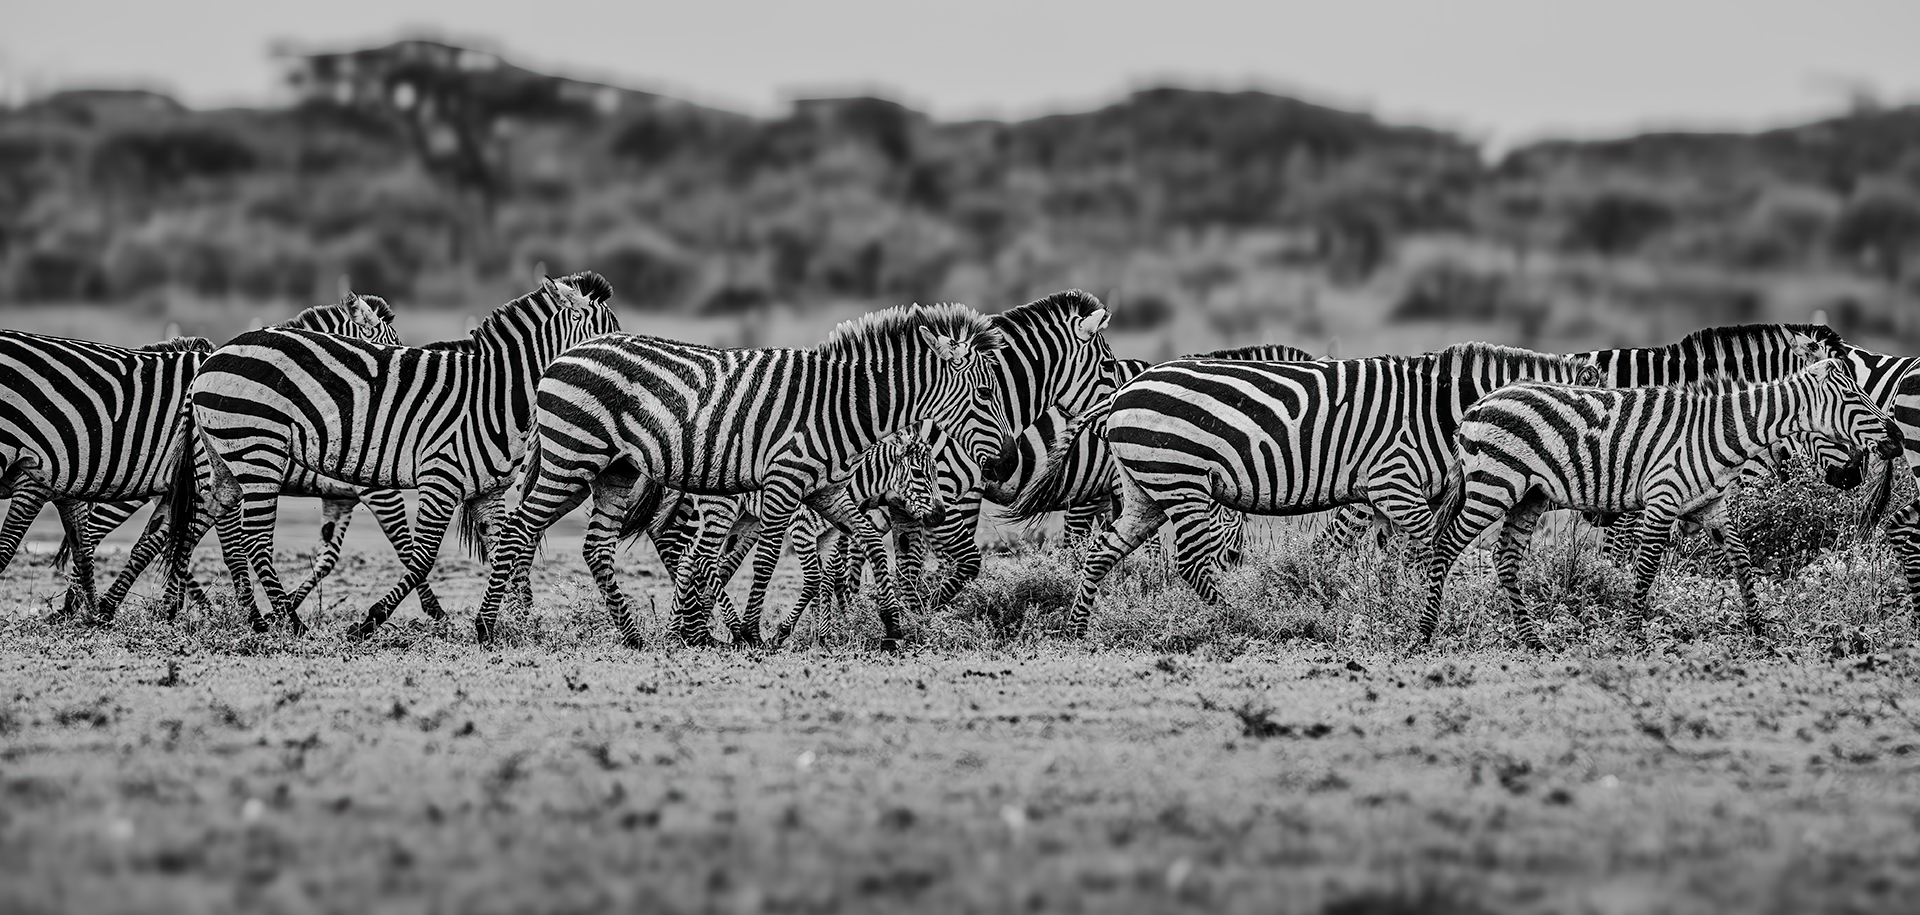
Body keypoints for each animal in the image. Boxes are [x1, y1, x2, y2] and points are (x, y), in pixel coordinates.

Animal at [0, 297, 400, 622]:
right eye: (387, 352)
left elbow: (173, 543)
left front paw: (167, 609)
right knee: (87, 533)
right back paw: (78, 607)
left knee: (97, 536)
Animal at [166, 273, 619, 636]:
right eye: (601, 337)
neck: (494, 394)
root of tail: (212, 357)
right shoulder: (439, 479)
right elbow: (420, 557)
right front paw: (368, 623)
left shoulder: (486, 491)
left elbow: (503, 551)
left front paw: (509, 619)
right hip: (258, 453)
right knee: (255, 541)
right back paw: (290, 625)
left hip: (226, 463)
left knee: (192, 524)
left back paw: (201, 612)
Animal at [474, 303, 1009, 649]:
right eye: (985, 394)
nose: (1003, 462)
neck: (843, 405)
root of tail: (562, 356)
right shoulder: (784, 483)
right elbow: (770, 560)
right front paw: (754, 633)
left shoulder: (826, 489)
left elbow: (870, 541)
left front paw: (893, 627)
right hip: (572, 457)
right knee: (519, 528)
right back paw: (487, 628)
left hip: (611, 469)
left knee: (592, 546)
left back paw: (634, 637)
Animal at [1010, 342, 1602, 638]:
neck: (1441, 412)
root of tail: (1124, 389)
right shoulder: (1394, 482)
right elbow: (1426, 551)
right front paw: (1421, 618)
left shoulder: (1389, 497)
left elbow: (1396, 558)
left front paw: (1387, 610)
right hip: (1182, 480)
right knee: (1192, 562)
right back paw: (1240, 622)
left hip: (1145, 487)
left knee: (1101, 551)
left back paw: (1078, 628)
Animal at [1426, 359, 1899, 647]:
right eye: (1854, 399)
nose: (1896, 438)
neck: (1719, 432)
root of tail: (1475, 406)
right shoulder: (1661, 500)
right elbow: (1646, 569)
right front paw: (1633, 636)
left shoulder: (1711, 507)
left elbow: (1743, 562)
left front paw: (1760, 631)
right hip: (1493, 485)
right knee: (1444, 548)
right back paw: (1426, 633)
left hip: (1529, 495)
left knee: (1504, 559)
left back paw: (1533, 641)